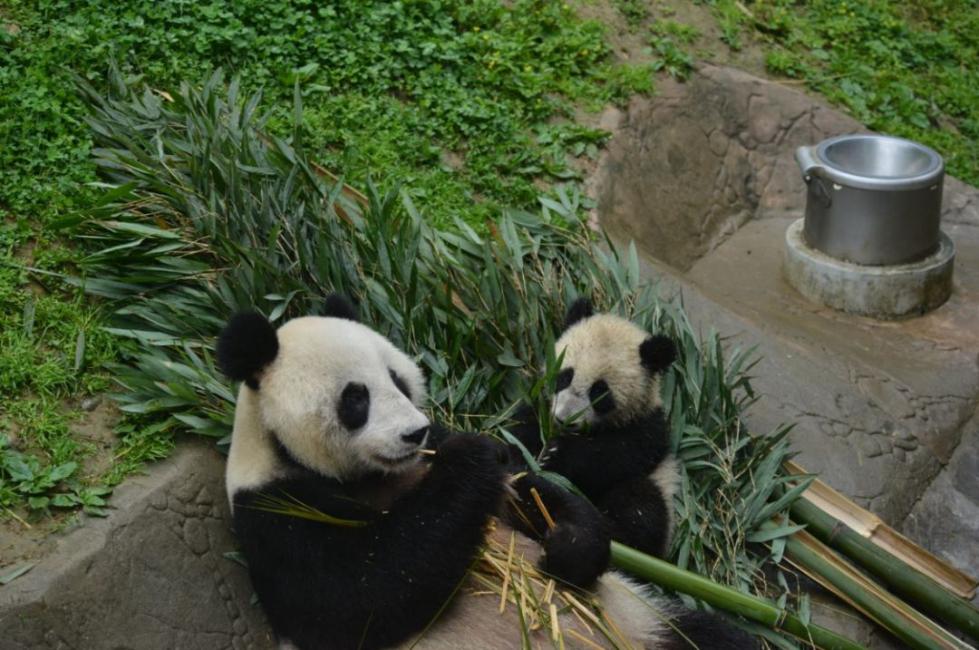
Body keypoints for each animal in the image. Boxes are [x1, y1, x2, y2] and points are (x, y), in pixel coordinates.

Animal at [220, 294, 752, 648]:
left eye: (398, 380)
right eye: (356, 399)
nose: (414, 433)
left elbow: (532, 488)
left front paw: (569, 544)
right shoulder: (275, 513)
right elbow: (362, 593)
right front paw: (470, 461)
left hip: (644, 620)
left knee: (719, 637)